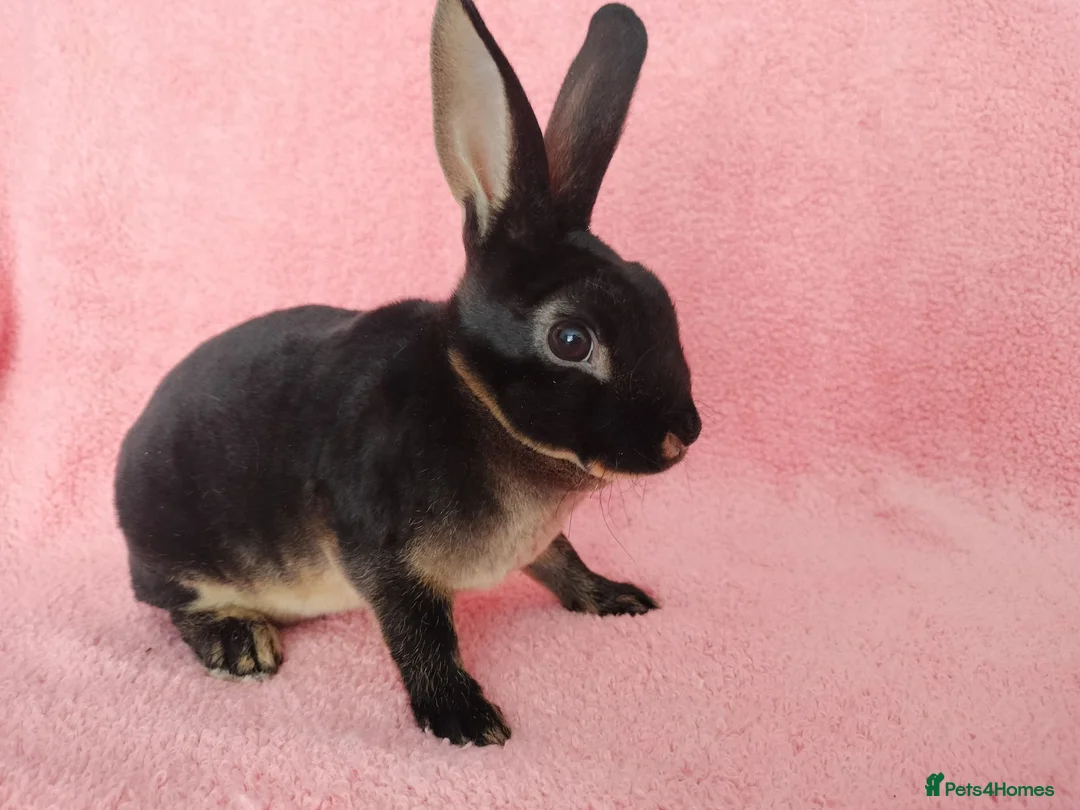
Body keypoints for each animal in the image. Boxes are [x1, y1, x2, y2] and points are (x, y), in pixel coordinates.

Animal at [114, 0, 701, 747]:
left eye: (658, 293)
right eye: (571, 340)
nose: (685, 434)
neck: (481, 406)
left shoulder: (537, 544)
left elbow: (562, 560)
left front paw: (616, 598)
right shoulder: (384, 559)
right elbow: (421, 638)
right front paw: (465, 721)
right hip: (183, 555)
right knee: (173, 605)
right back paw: (239, 645)